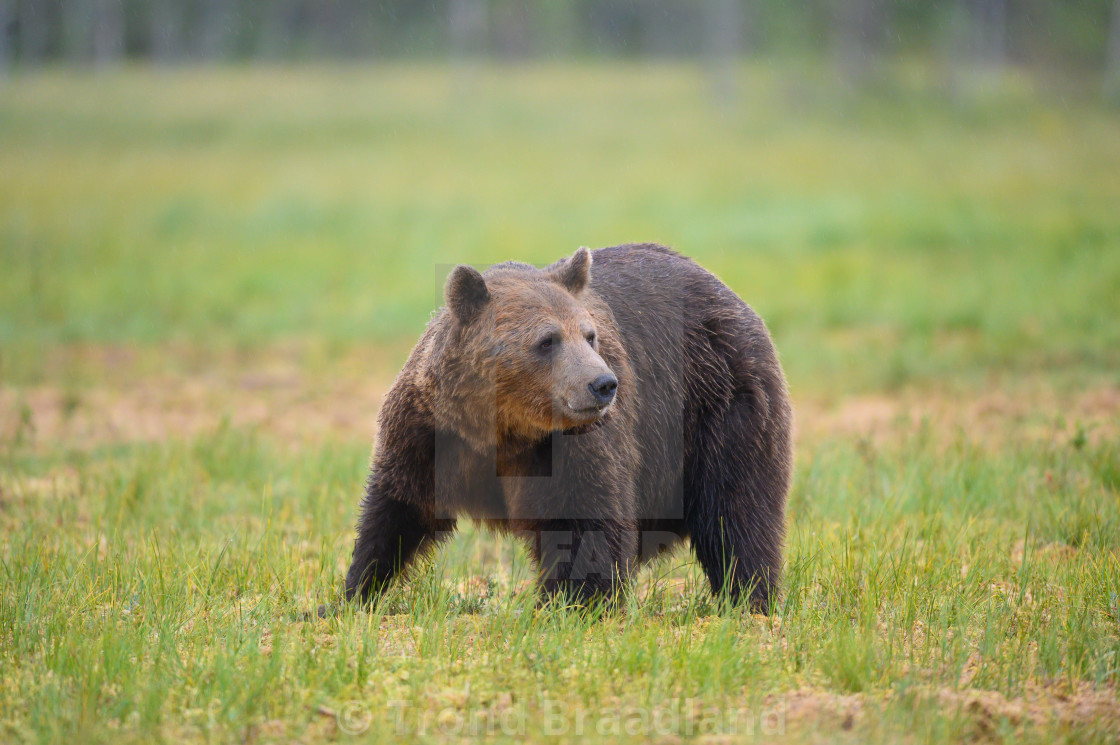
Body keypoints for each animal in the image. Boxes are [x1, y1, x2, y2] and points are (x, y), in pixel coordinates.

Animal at [344, 244, 792, 609]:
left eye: (590, 335)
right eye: (547, 340)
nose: (604, 384)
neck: (505, 430)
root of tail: (724, 289)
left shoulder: (575, 447)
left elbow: (585, 521)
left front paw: (573, 605)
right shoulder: (433, 433)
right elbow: (398, 507)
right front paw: (356, 591)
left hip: (718, 401)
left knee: (736, 508)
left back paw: (749, 596)